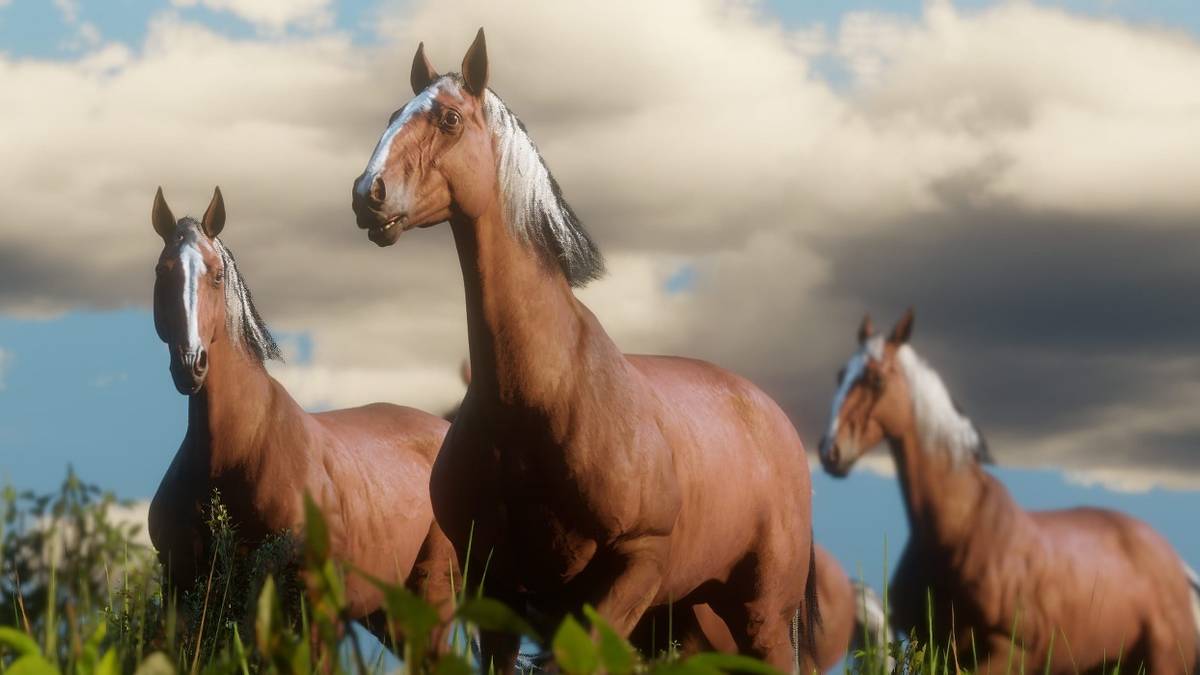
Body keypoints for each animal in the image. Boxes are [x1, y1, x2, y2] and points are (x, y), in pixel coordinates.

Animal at [146, 187, 458, 652]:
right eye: (161, 272)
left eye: (217, 275)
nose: (190, 365)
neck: (233, 453)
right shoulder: (185, 598)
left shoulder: (313, 607)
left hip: (431, 601)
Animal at [349, 30, 818, 672]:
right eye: (394, 114)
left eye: (448, 118)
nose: (367, 194)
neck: (539, 397)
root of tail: (775, 419)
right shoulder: (498, 590)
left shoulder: (633, 566)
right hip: (687, 615)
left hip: (761, 615)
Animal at [818, 308, 1200, 674]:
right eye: (839, 375)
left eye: (876, 379)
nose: (830, 452)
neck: (957, 526)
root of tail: (1181, 573)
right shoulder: (936, 651)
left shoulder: (1010, 653)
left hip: (1163, 662)